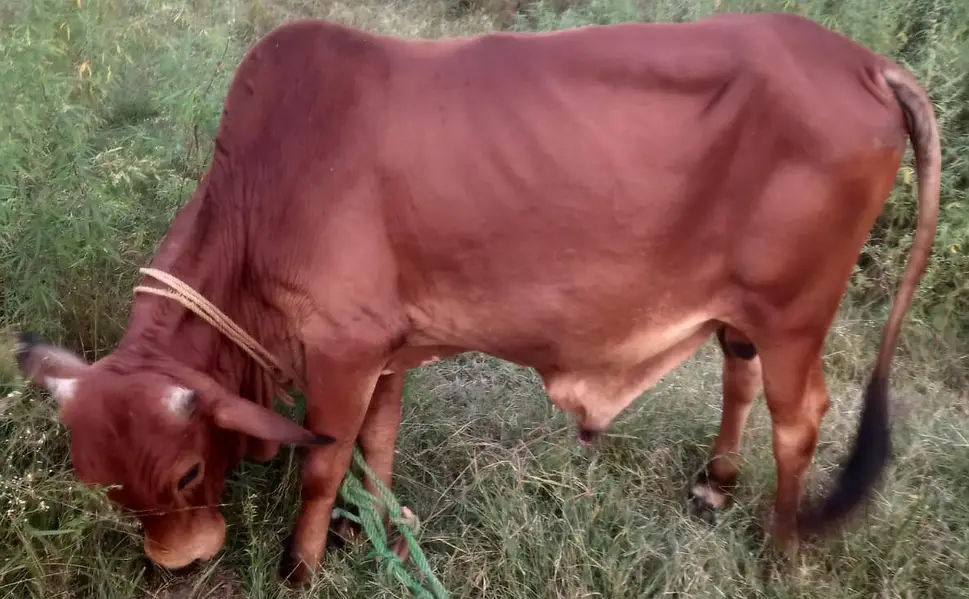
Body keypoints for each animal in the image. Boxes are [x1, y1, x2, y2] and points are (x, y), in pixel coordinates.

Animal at [15, 10, 939, 586]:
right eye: (98, 481)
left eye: (186, 470)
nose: (180, 561)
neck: (262, 190)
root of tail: (863, 62)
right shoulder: (385, 346)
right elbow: (376, 444)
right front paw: (369, 527)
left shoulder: (343, 347)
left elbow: (322, 463)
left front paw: (300, 564)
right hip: (745, 310)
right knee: (737, 374)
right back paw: (713, 483)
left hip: (793, 311)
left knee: (801, 418)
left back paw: (780, 548)